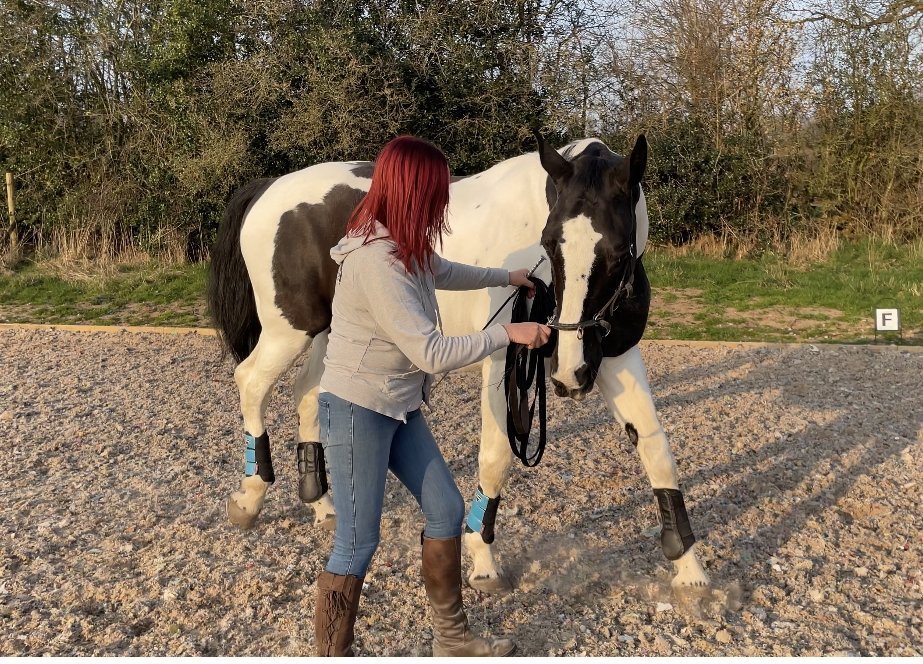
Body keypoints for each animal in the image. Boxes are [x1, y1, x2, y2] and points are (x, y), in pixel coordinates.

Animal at [206, 132, 710, 594]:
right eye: (549, 244)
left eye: (619, 251)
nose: (569, 378)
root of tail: (272, 187)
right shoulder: (505, 364)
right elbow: (497, 457)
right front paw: (482, 558)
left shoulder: (614, 357)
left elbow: (656, 450)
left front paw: (689, 570)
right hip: (289, 330)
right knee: (251, 382)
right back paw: (250, 497)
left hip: (329, 331)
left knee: (308, 392)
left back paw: (321, 503)